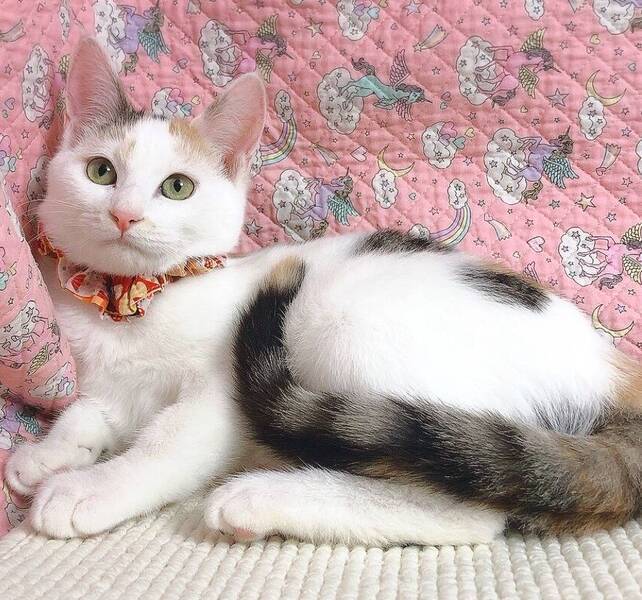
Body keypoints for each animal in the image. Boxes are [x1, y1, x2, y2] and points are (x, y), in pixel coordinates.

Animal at [5, 37, 642, 546]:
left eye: (177, 187)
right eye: (101, 172)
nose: (125, 215)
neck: (133, 301)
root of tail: (615, 373)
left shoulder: (220, 394)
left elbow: (165, 443)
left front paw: (88, 489)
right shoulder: (107, 386)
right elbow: (85, 416)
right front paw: (46, 455)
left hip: (353, 329)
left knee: (466, 513)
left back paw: (259, 499)